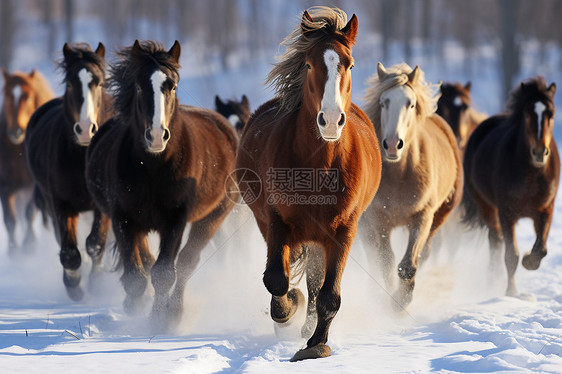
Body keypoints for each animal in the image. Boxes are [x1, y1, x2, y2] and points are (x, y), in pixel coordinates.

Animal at [25, 43, 114, 300]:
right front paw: (74, 285)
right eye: (71, 84)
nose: (85, 129)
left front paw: (96, 282)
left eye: (99, 83)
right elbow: (69, 252)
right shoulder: (60, 204)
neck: (81, 158)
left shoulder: (103, 204)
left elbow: (95, 242)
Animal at [85, 40, 236, 330]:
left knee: (187, 262)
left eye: (173, 85)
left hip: (214, 216)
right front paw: (135, 310)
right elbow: (136, 275)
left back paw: (175, 311)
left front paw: (159, 320)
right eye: (139, 86)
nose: (156, 136)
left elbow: (165, 272)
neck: (153, 167)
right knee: (146, 260)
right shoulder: (122, 217)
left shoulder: (175, 219)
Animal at [234, 7, 382, 360]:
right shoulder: (276, 221)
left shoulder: (344, 230)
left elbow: (330, 295)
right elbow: (276, 279)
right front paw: (288, 308)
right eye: (310, 64)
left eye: (350, 64)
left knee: (316, 280)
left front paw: (316, 344)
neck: (320, 167)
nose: (330, 121)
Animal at [360, 62, 462, 310]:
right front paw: (389, 299)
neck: (400, 175)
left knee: (424, 253)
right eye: (383, 102)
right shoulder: (379, 221)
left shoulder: (422, 217)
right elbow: (386, 261)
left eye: (411, 103)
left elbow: (408, 265)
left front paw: (401, 302)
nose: (392, 144)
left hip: (439, 218)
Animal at [460, 77, 556, 296]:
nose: (540, 152)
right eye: (528, 114)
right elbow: (511, 254)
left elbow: (541, 248)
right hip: (487, 208)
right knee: (495, 241)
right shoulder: (507, 212)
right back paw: (493, 279)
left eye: (551, 114)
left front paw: (530, 261)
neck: (532, 175)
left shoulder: (545, 210)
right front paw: (510, 292)